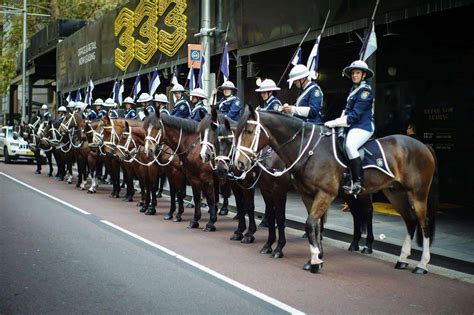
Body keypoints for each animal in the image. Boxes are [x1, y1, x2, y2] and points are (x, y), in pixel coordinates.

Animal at [233, 107, 436, 276]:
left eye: (249, 131)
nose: (238, 164)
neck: (307, 148)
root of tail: (423, 145)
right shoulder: (306, 194)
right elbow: (315, 225)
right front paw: (316, 258)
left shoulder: (322, 194)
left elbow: (307, 223)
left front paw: (314, 260)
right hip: (395, 192)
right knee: (410, 220)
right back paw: (402, 259)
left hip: (417, 193)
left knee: (422, 222)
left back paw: (421, 264)